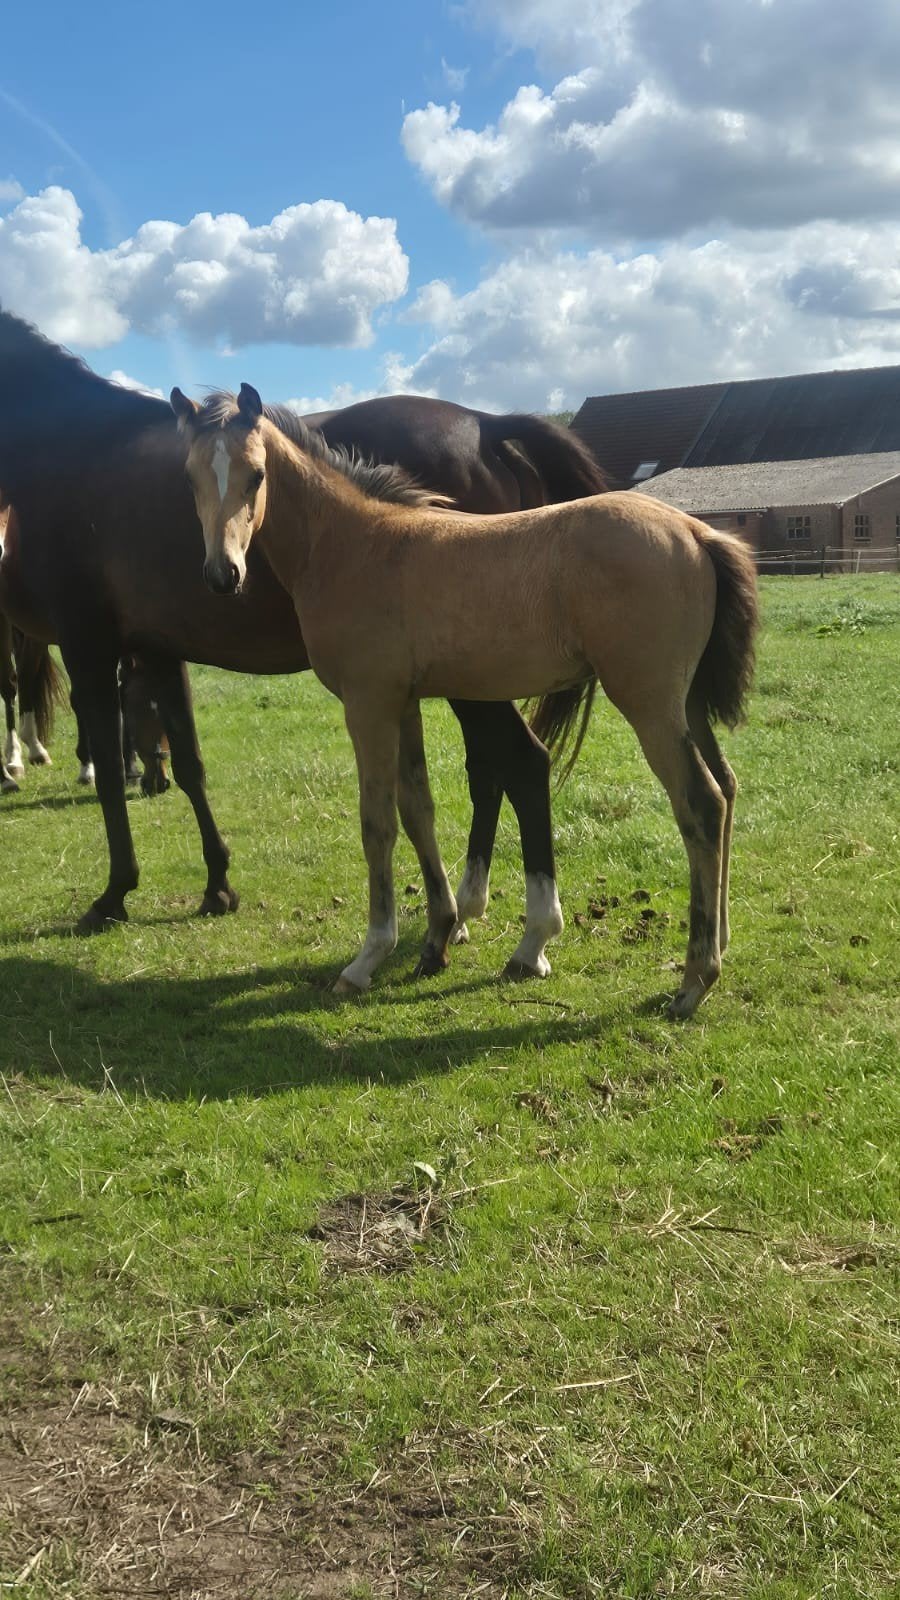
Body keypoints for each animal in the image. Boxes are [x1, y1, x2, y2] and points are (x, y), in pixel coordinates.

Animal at [0, 307, 608, 948]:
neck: (65, 446)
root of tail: (487, 425)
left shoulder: (87, 644)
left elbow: (110, 776)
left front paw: (114, 892)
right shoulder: (158, 649)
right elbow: (190, 764)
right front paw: (217, 883)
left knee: (519, 764)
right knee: (490, 769)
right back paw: (467, 908)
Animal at [174, 383, 758, 1017]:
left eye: (256, 475)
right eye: (190, 476)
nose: (223, 575)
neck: (357, 544)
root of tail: (699, 534)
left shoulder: (367, 702)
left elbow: (377, 823)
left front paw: (368, 958)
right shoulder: (402, 702)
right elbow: (418, 810)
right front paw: (436, 937)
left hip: (649, 701)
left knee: (700, 802)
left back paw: (694, 978)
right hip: (687, 702)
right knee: (727, 786)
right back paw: (719, 941)